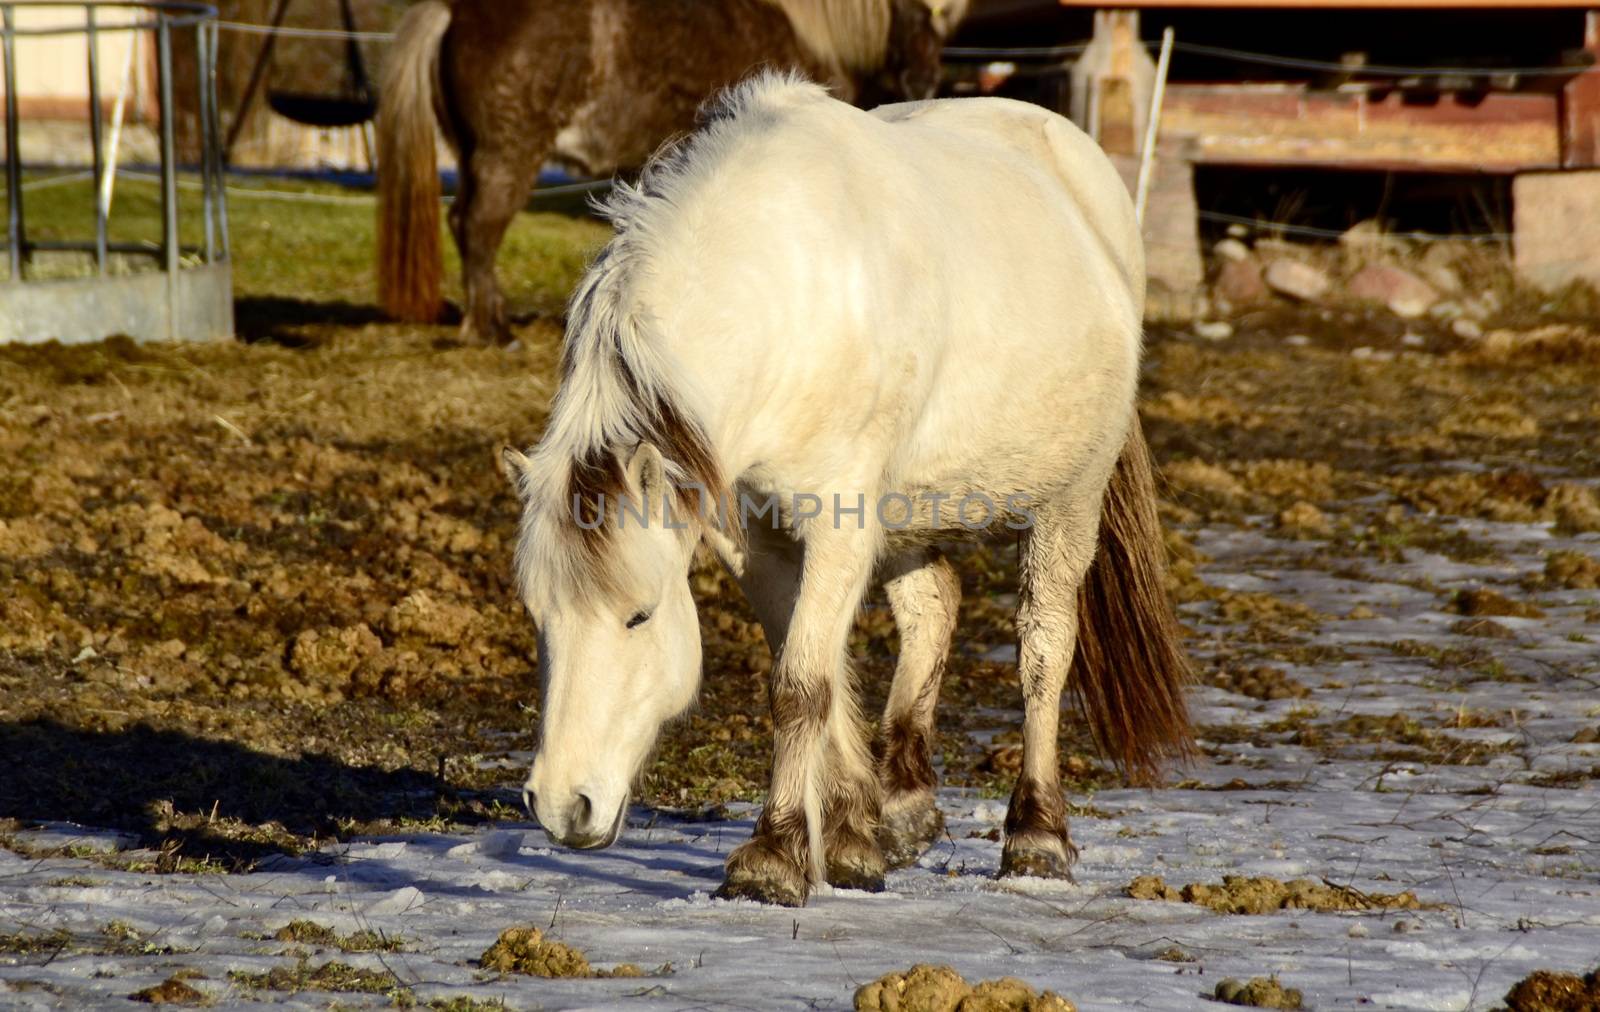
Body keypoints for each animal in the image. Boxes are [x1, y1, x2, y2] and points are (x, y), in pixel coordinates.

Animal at [377, 0, 960, 344]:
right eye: (916, 15)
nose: (926, 81)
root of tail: (452, 11)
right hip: (507, 155)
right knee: (478, 228)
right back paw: (491, 331)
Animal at [499, 75, 1190, 903]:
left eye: (639, 617)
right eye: (538, 617)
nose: (561, 805)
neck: (785, 296)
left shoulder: (836, 521)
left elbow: (799, 682)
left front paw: (772, 857)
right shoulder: (754, 532)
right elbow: (810, 668)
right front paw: (855, 837)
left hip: (1070, 497)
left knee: (1044, 649)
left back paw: (1036, 837)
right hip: (908, 508)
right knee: (933, 607)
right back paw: (906, 808)